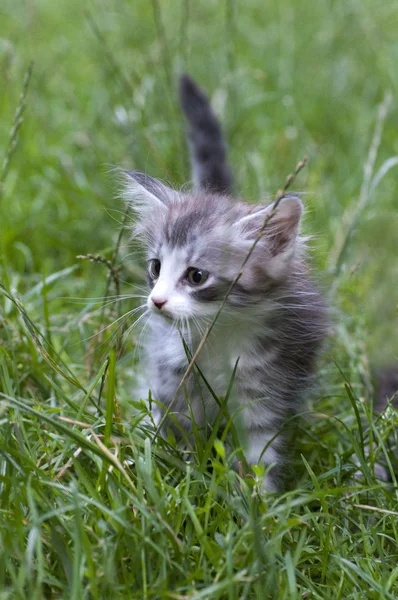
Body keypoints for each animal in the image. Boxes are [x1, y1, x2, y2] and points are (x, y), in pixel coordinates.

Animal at [122, 72, 326, 490]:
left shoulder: (267, 383)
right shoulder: (174, 373)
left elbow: (261, 450)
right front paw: (172, 475)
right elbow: (177, 428)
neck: (218, 333)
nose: (156, 302)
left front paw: (260, 498)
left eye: (196, 276)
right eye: (156, 268)